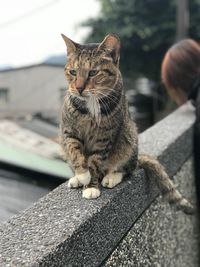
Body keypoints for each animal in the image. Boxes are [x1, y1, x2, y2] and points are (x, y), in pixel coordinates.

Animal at [59, 33, 194, 216]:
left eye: (93, 72)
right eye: (72, 72)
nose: (78, 88)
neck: (91, 104)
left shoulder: (104, 137)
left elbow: (95, 161)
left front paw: (91, 185)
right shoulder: (69, 131)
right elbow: (74, 151)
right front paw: (82, 175)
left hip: (129, 138)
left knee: (127, 169)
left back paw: (111, 177)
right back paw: (76, 179)